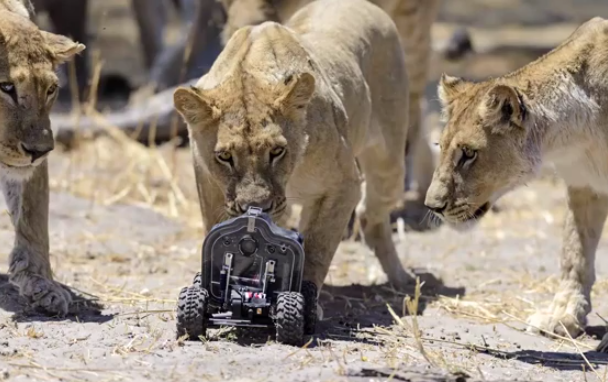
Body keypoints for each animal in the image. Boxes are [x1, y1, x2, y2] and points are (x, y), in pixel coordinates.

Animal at [173, 0, 416, 308]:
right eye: (225, 157)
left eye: (277, 151)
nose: (257, 206)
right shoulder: (207, 183)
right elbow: (219, 233)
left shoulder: (344, 184)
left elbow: (316, 248)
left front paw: (303, 299)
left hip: (390, 162)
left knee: (370, 214)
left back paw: (399, 278)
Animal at [426, 17, 608, 338]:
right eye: (440, 146)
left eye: (469, 153)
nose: (432, 206)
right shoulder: (584, 182)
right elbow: (575, 251)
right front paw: (563, 316)